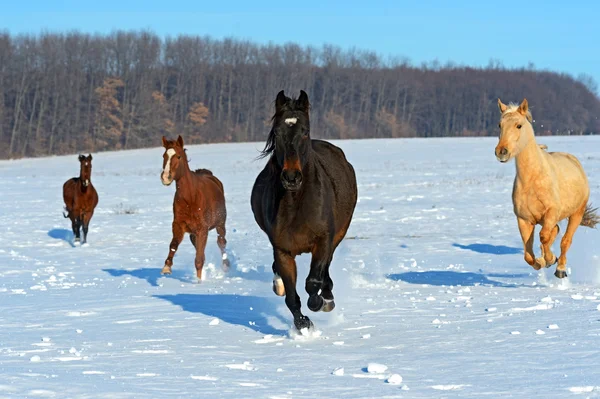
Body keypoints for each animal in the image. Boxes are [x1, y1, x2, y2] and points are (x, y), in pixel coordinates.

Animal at [159, 136, 230, 280]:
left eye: (178, 156)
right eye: (164, 156)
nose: (165, 177)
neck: (190, 198)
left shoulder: (202, 229)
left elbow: (199, 259)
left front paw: (199, 281)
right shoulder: (178, 225)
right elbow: (173, 244)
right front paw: (166, 268)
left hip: (220, 224)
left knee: (221, 242)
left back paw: (226, 266)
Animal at [250, 90, 356, 332]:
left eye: (305, 131)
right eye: (277, 132)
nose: (291, 177)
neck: (295, 204)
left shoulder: (324, 240)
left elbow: (313, 281)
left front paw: (319, 302)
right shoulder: (282, 250)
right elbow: (291, 296)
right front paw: (303, 325)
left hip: (337, 236)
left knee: (325, 270)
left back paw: (327, 297)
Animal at [494, 97, 596, 278]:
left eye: (519, 125)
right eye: (500, 125)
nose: (501, 152)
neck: (532, 181)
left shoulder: (551, 214)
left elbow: (544, 237)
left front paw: (550, 259)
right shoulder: (524, 220)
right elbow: (528, 255)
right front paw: (542, 261)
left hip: (576, 213)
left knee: (565, 240)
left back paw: (560, 268)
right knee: (555, 232)